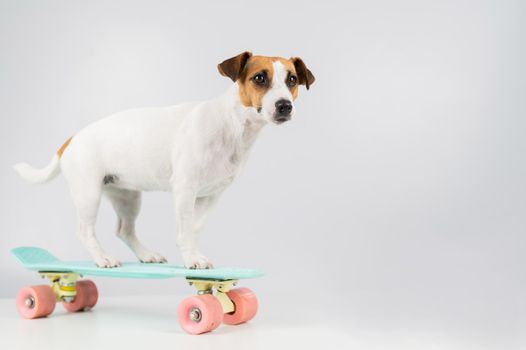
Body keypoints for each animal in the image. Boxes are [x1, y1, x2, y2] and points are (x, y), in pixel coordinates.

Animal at [14, 52, 316, 270]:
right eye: (260, 78)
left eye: (291, 80)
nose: (284, 106)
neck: (233, 125)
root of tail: (72, 138)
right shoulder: (184, 189)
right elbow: (185, 228)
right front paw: (192, 259)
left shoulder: (210, 196)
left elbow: (193, 228)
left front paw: (193, 252)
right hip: (88, 194)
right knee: (84, 230)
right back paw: (102, 259)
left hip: (127, 196)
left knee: (124, 230)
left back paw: (146, 255)